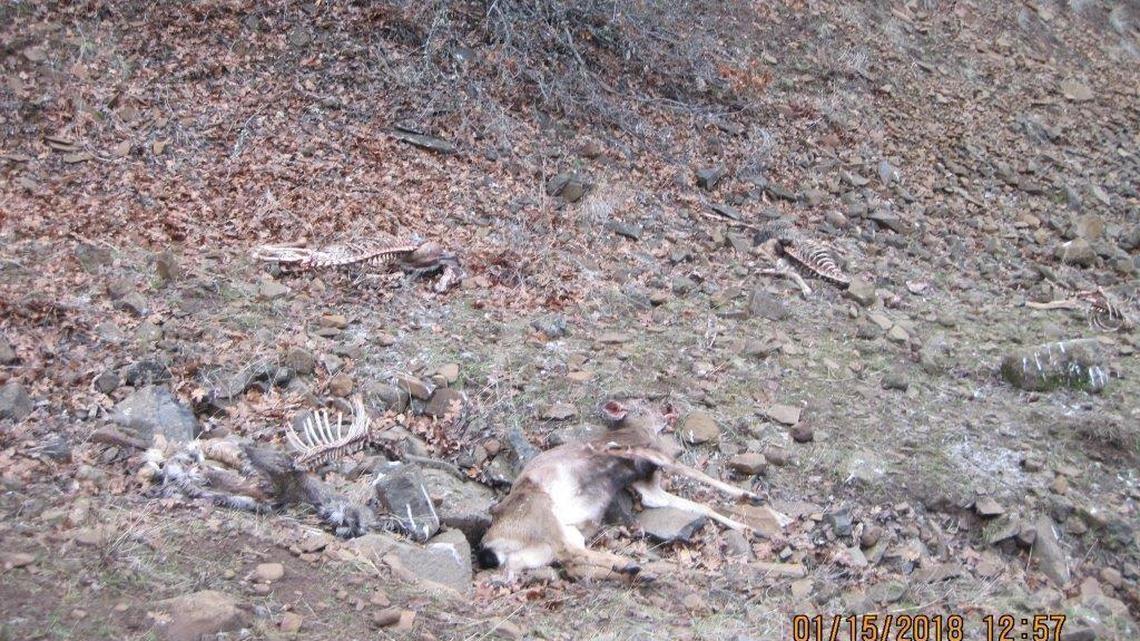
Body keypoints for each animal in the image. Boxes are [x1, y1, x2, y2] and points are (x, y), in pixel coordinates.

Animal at [476, 399, 785, 579]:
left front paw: (755, 527)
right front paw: (754, 497)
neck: (640, 432)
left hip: (545, 547)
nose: (668, 407)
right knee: (570, 553)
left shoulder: (646, 485)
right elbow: (692, 473)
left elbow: (701, 505)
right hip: (540, 510)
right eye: (641, 406)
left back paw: (629, 568)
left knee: (566, 558)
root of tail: (492, 545)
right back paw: (632, 566)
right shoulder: (645, 453)